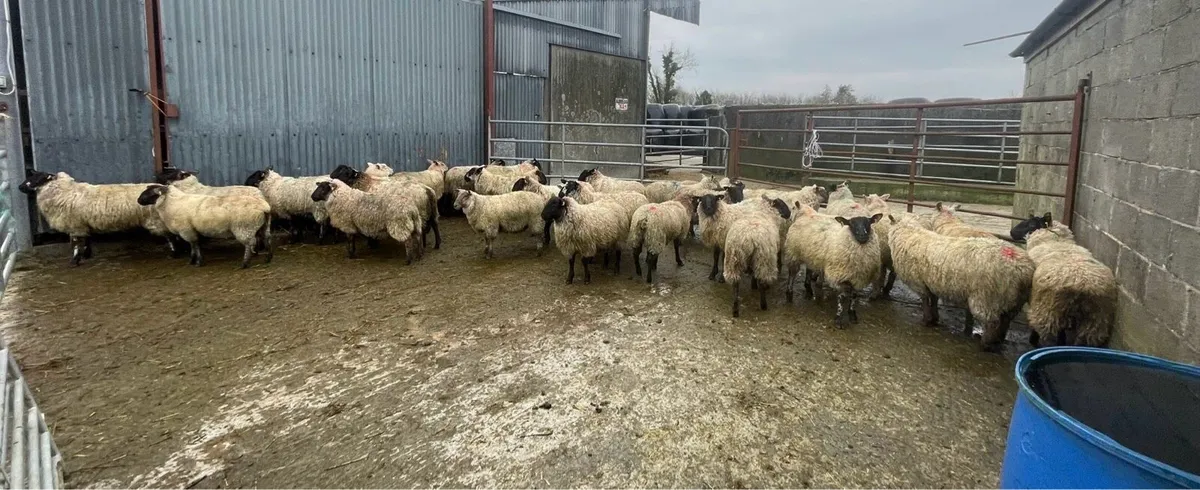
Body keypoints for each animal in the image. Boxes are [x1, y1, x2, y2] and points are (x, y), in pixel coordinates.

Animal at [18, 170, 176, 265]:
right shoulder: (82, 224)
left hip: (158, 220)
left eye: (37, 178)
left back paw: (175, 253)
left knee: (171, 236)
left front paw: (75, 261)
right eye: (30, 176)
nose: (19, 187)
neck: (64, 192)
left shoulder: (74, 225)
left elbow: (75, 244)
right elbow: (87, 240)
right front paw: (86, 254)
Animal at [137, 184, 273, 268]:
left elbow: (194, 244)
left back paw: (245, 263)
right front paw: (193, 260)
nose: (138, 200)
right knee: (267, 239)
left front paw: (197, 261)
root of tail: (264, 207)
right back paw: (268, 258)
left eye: (150, 193)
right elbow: (194, 244)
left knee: (249, 244)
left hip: (244, 227)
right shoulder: (190, 230)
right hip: (263, 226)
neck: (172, 202)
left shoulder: (186, 230)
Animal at [888, 213, 1035, 351]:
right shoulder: (931, 282)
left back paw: (986, 344)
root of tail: (1023, 268)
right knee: (1006, 320)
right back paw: (998, 340)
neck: (909, 234)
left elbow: (925, 300)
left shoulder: (918, 282)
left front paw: (926, 320)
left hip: (987, 297)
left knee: (992, 322)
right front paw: (934, 318)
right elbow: (933, 299)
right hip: (1014, 300)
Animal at [1021, 219, 1117, 347]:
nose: (1012, 232)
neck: (1056, 241)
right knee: (1086, 336)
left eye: (1029, 223)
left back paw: (1034, 341)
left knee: (1042, 326)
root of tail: (1082, 284)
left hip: (1049, 309)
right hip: (1096, 317)